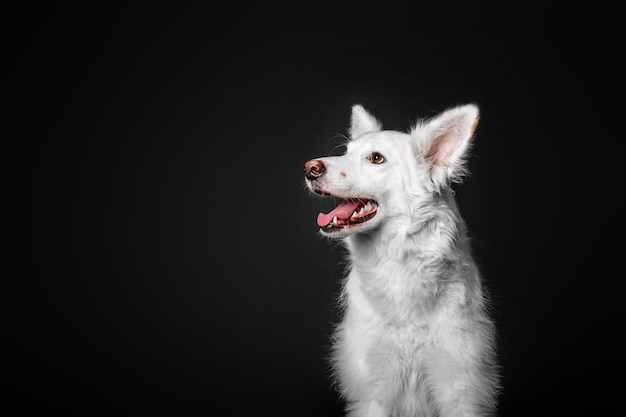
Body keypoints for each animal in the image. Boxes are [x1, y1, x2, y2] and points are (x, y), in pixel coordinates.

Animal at [302, 102, 498, 414]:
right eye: (346, 152)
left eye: (376, 158)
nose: (310, 168)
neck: (397, 261)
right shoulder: (373, 390)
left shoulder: (460, 388)